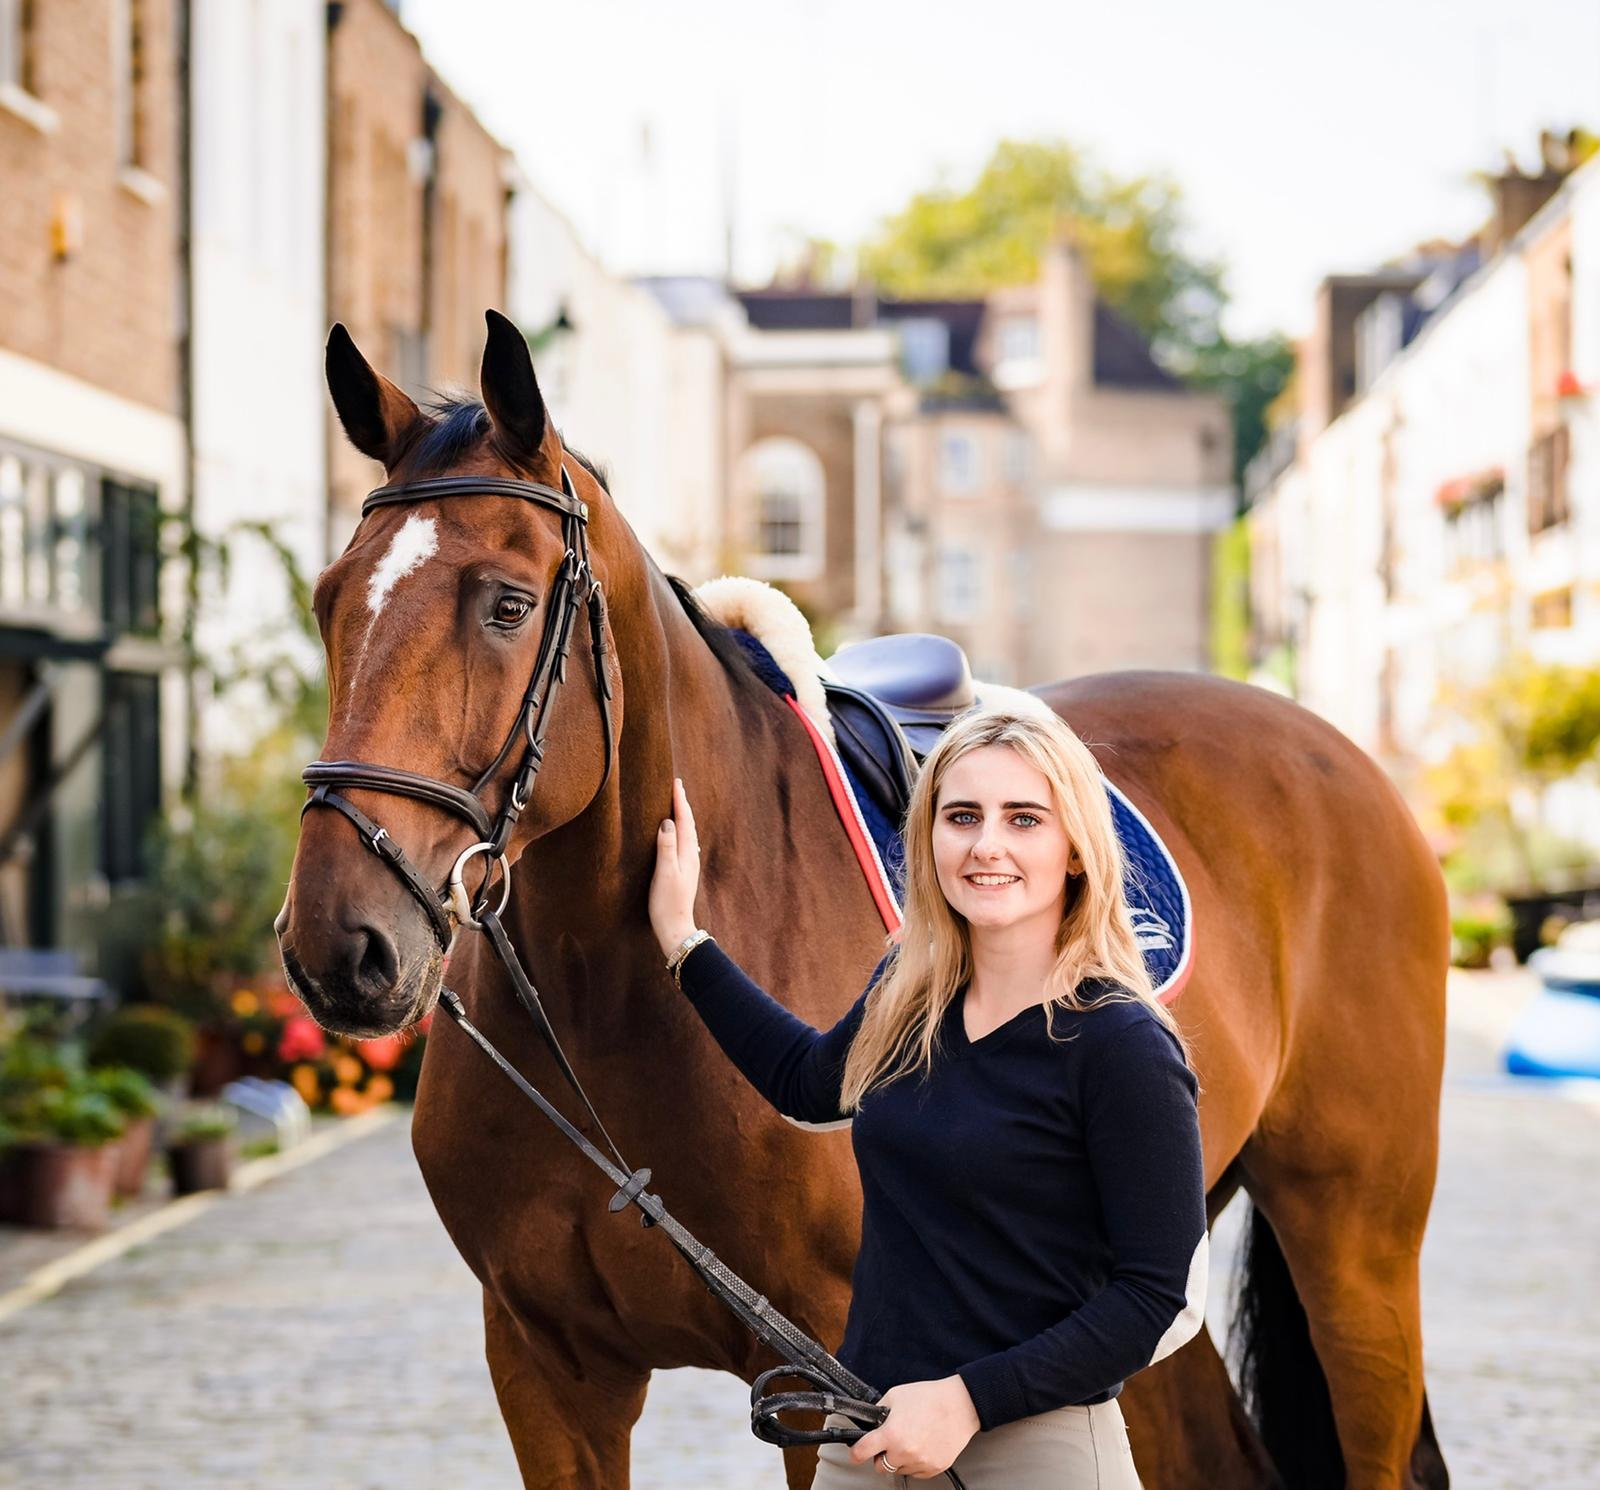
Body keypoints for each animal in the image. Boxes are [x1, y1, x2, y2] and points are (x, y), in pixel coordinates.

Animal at [276, 310, 1451, 1490]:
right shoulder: (545, 1365)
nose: (342, 942)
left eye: (509, 605)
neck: (607, 1009)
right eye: (328, 601)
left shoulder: (828, 1376)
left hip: (1352, 1244)